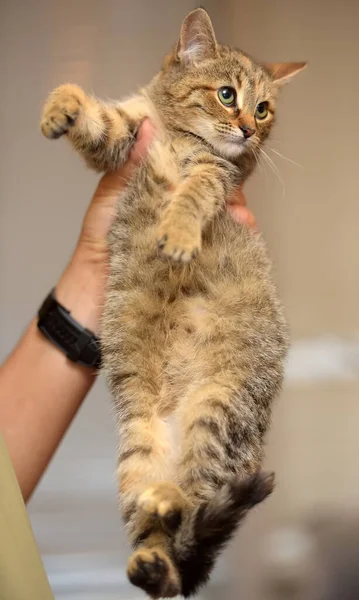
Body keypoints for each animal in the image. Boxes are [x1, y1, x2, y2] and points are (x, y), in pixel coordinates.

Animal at [42, 7, 306, 596]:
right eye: (227, 95)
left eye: (263, 108)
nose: (248, 129)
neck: (179, 137)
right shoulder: (125, 138)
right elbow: (103, 120)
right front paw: (63, 104)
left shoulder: (217, 175)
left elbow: (192, 194)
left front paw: (179, 233)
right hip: (136, 449)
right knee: (166, 550)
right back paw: (152, 548)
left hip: (216, 411)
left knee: (196, 506)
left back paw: (173, 503)